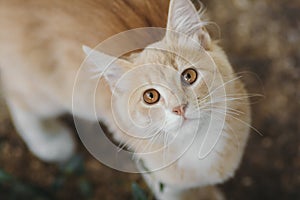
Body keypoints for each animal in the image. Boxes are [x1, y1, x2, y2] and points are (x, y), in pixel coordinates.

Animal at [0, 0, 251, 200]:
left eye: (189, 76)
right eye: (151, 96)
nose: (179, 108)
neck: (196, 143)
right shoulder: (158, 173)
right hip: (57, 91)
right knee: (17, 96)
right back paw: (49, 143)